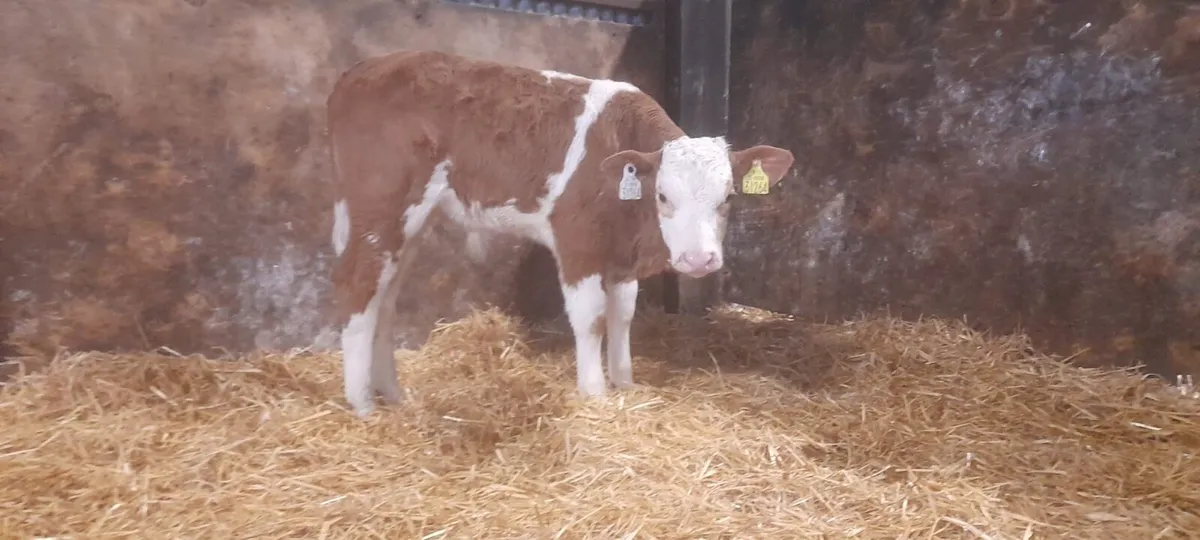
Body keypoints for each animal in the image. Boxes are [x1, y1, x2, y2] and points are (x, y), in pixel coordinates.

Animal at [327, 50, 794, 417]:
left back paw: (393, 394)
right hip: (380, 208)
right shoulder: (577, 240)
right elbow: (591, 319)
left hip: (409, 225)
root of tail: (363, 69)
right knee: (356, 285)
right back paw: (362, 405)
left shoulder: (621, 257)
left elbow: (622, 316)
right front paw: (594, 394)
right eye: (662, 195)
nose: (699, 261)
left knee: (384, 299)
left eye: (728, 197)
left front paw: (625, 384)